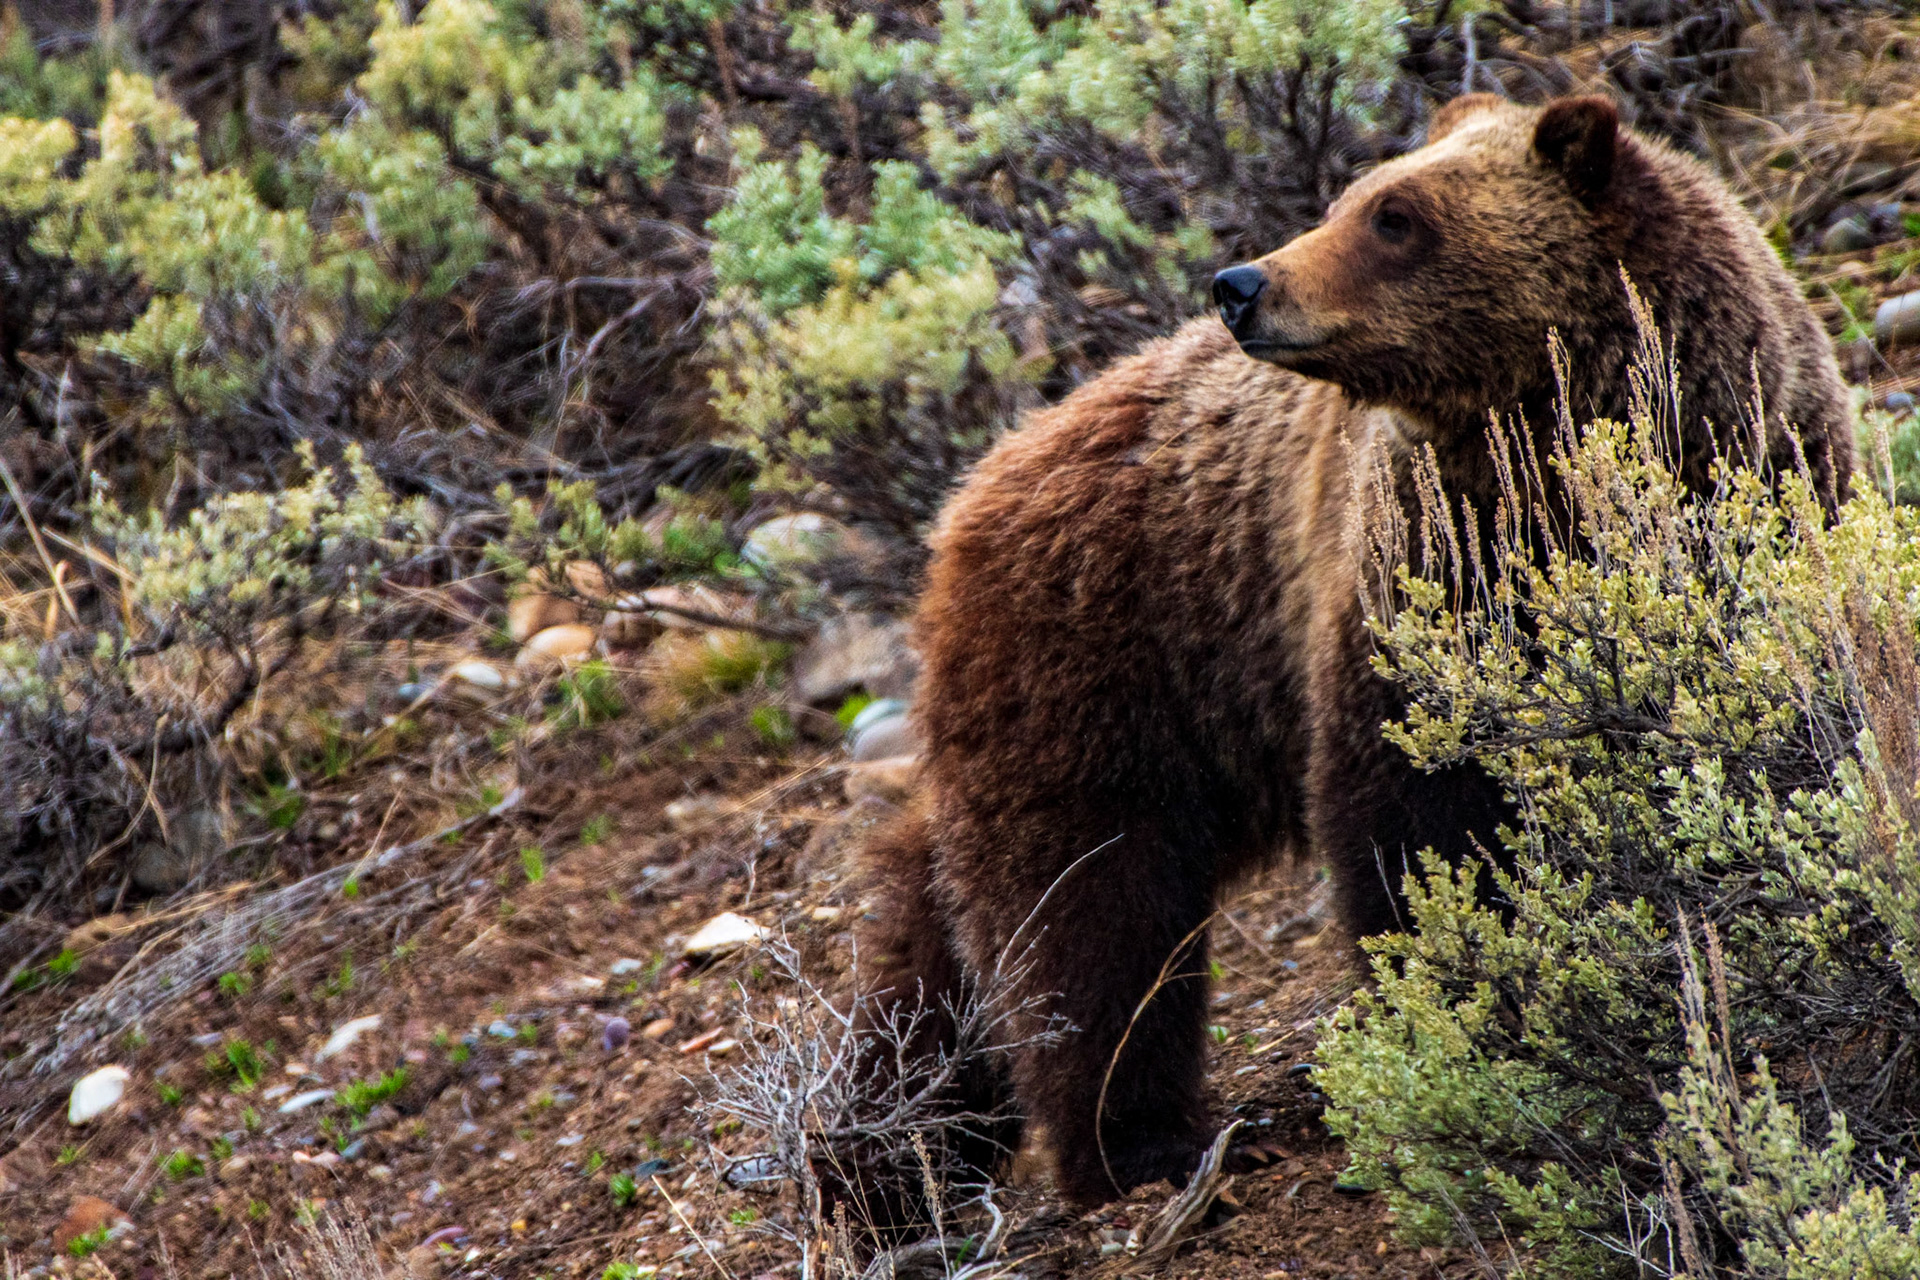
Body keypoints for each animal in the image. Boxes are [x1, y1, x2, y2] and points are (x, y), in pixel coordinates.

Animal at [849, 93, 1853, 1215]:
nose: (1242, 285)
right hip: (1114, 664)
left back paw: (897, 1146)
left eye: (1396, 217)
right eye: (1352, 200)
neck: (1554, 457)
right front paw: (1470, 1015)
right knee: (1088, 907)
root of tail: (975, 486)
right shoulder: (1417, 568)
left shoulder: (1761, 481)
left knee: (939, 920)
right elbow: (1412, 807)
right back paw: (1134, 1140)